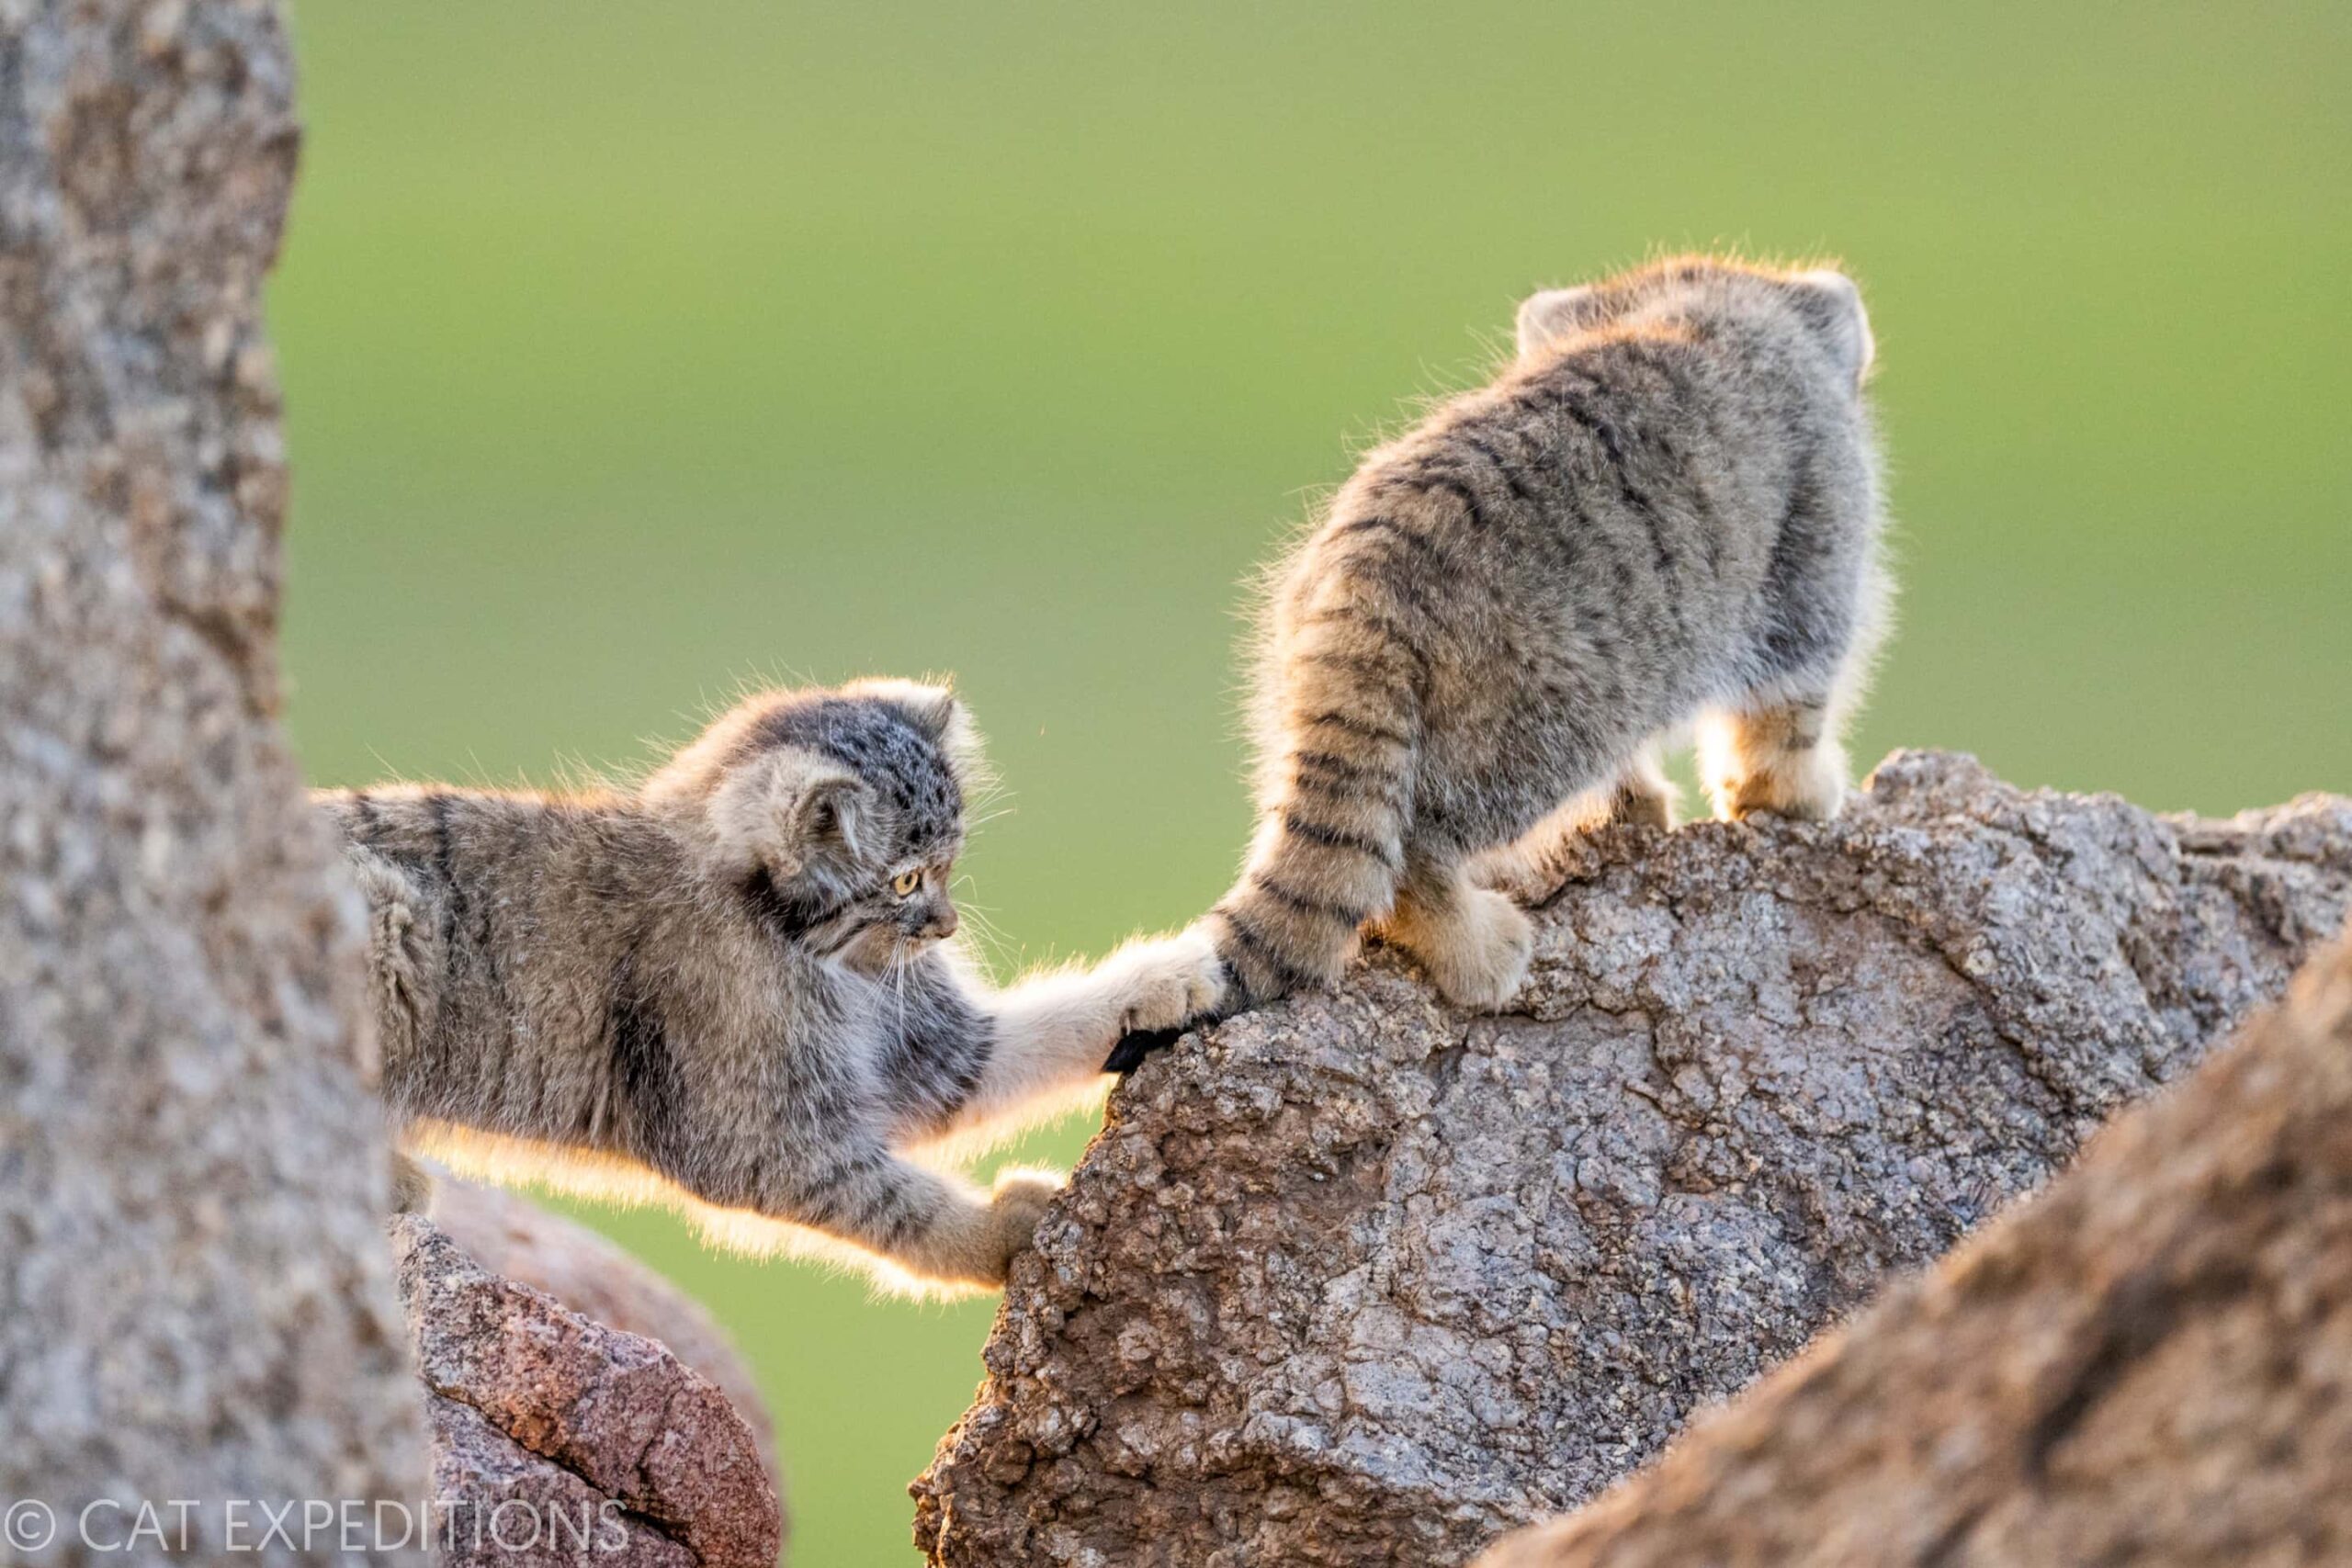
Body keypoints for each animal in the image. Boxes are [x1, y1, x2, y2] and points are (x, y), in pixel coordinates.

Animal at [322, 682, 1223, 1297]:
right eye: (906, 879)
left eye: (948, 866)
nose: (947, 924)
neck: (809, 952)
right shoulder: (762, 1141)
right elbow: (898, 1203)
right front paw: (997, 1233)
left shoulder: (934, 1057)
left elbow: (1044, 1029)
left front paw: (1165, 979)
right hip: (385, 917)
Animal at [1114, 254, 1891, 1053]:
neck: (1695, 303)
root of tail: (1370, 575)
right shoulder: (1811, 587)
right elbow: (1785, 724)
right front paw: (1797, 796)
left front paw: (1637, 808)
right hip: (1541, 733)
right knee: (1415, 855)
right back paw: (1480, 950)